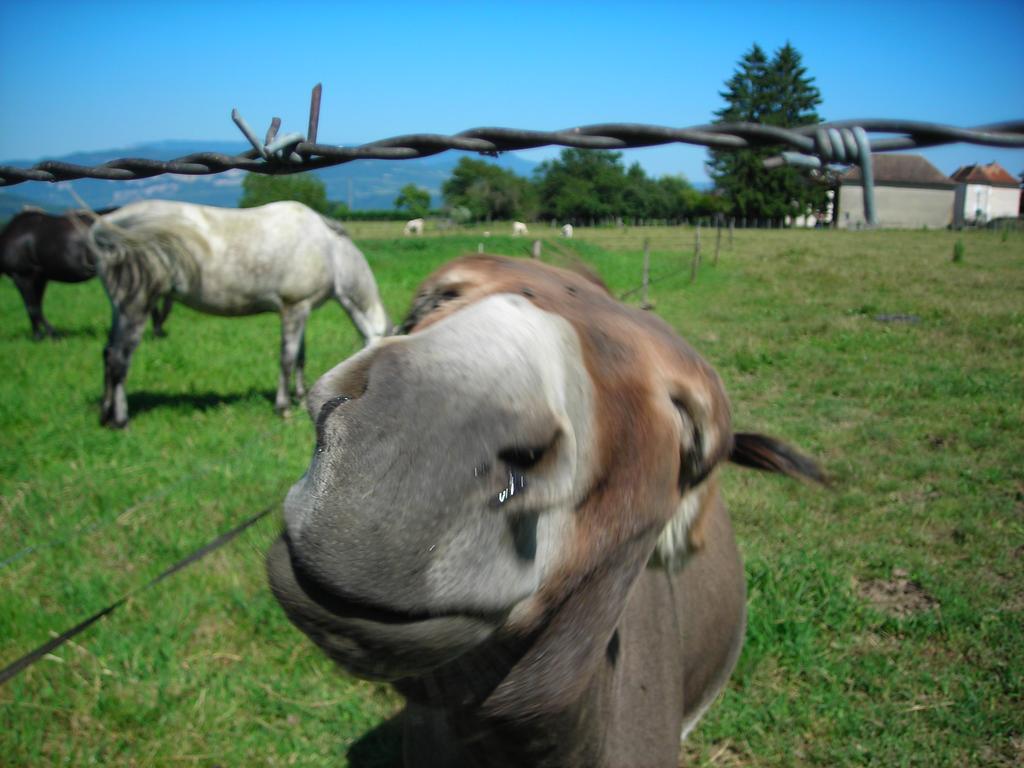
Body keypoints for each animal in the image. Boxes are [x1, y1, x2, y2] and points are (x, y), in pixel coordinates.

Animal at [1, 210, 171, 342]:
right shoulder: (35, 278)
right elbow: (35, 307)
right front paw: (41, 335)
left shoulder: (25, 276)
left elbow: (33, 308)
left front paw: (47, 335)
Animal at [88, 199, 389, 428]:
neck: (330, 250)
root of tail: (109, 223)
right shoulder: (293, 309)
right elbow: (287, 359)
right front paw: (283, 408)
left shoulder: (301, 310)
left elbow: (300, 358)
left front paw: (302, 397)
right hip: (135, 307)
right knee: (119, 359)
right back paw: (121, 420)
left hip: (121, 310)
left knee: (108, 353)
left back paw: (105, 415)